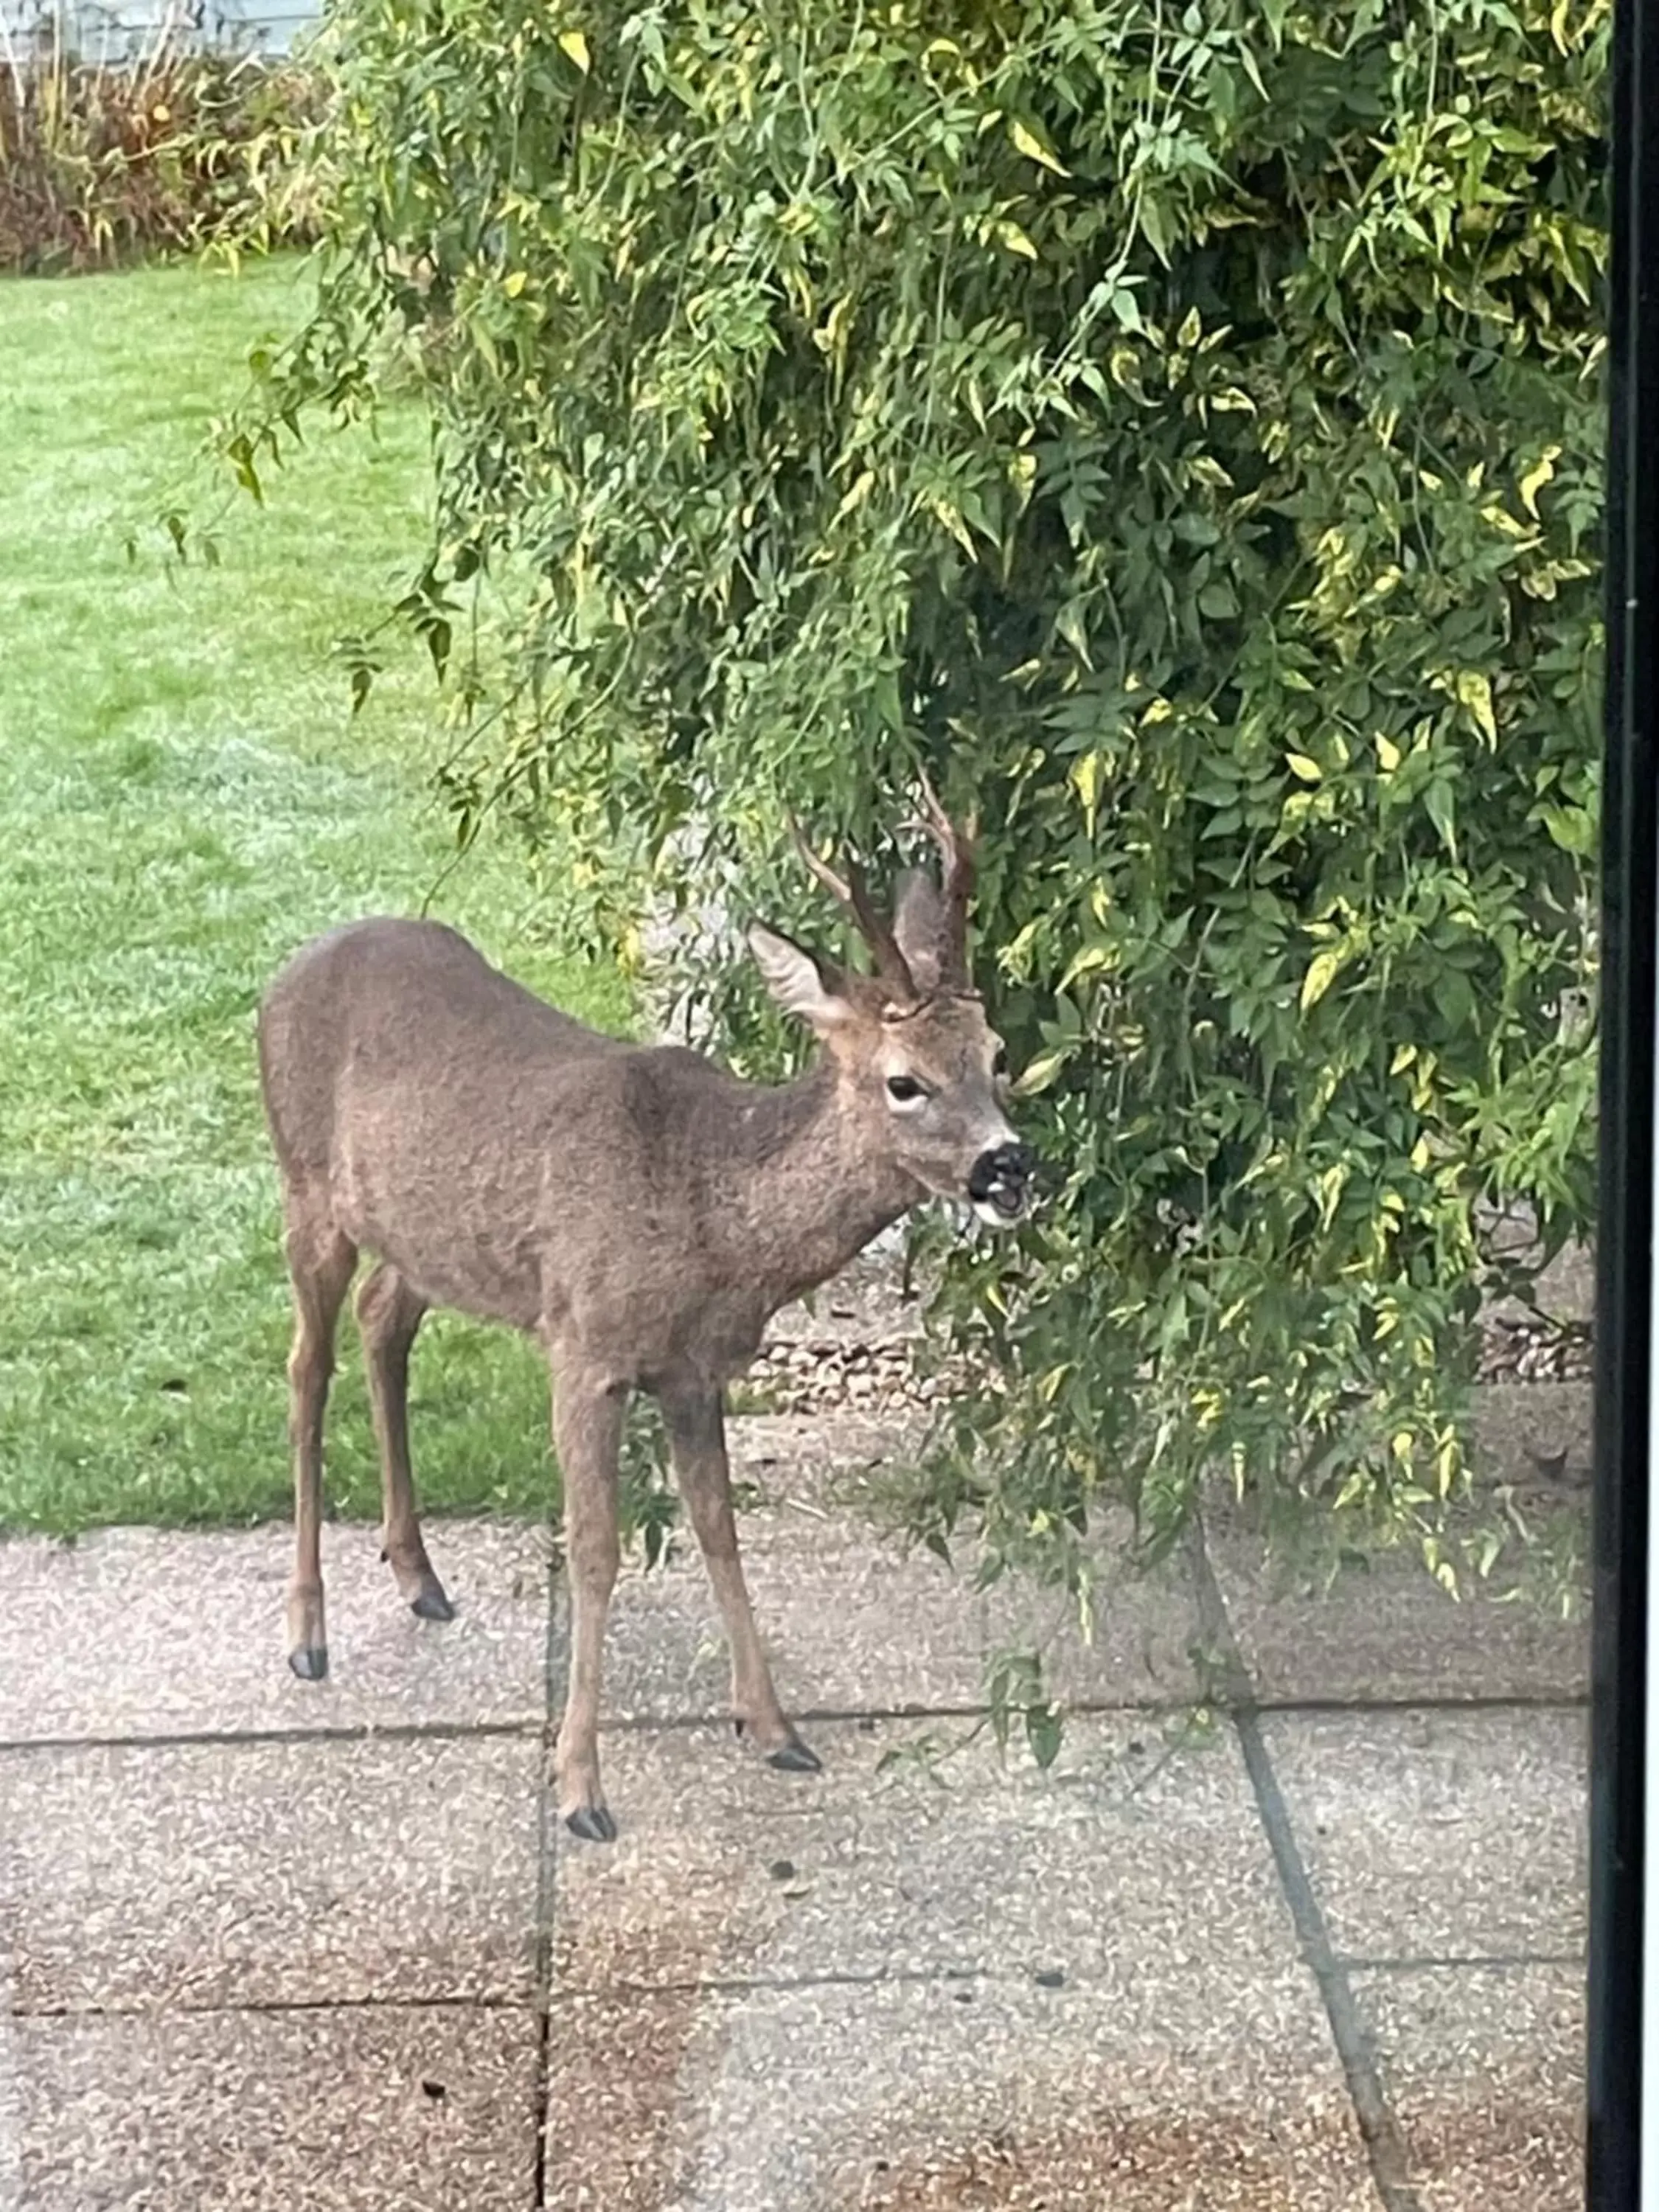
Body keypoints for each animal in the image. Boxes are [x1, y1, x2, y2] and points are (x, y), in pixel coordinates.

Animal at [260, 787, 1035, 1840]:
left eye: (997, 1054)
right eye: (903, 1081)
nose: (1011, 1168)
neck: (711, 1214)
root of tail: (285, 971)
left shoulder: (693, 1372)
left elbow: (720, 1527)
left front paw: (774, 1727)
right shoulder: (584, 1347)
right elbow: (595, 1553)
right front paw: (581, 1788)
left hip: (425, 1232)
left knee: (385, 1319)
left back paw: (418, 1575)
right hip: (307, 1191)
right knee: (306, 1367)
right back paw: (308, 1634)